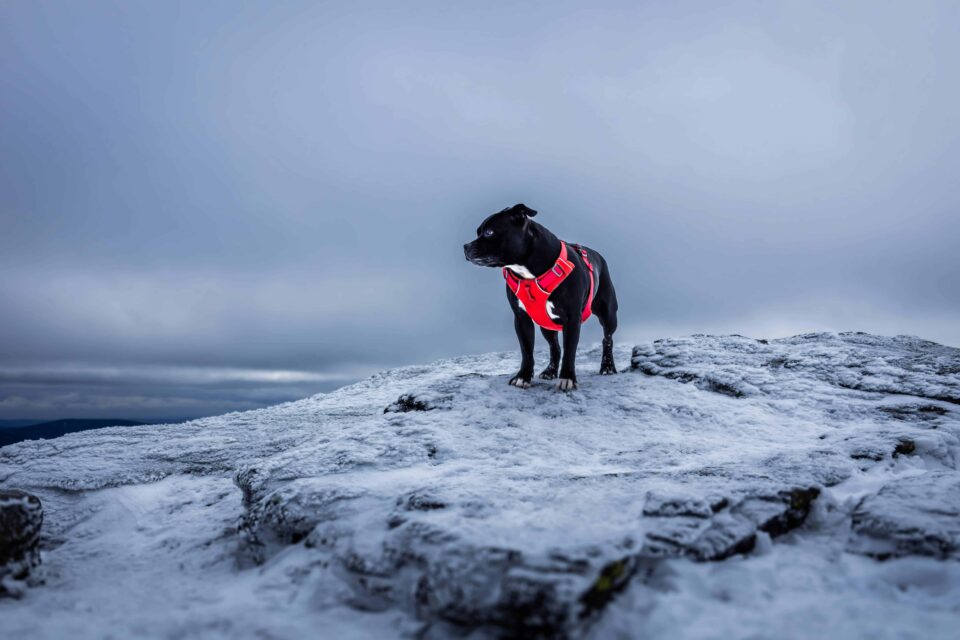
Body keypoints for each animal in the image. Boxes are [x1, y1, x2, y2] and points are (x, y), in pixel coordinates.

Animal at [466, 204, 624, 390]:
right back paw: (550, 371)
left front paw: (567, 378)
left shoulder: (572, 319)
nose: (465, 246)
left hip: (608, 314)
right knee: (554, 347)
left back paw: (607, 366)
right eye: (478, 232)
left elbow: (570, 351)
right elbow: (527, 351)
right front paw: (523, 376)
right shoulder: (521, 319)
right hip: (546, 324)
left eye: (489, 232)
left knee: (607, 338)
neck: (528, 271)